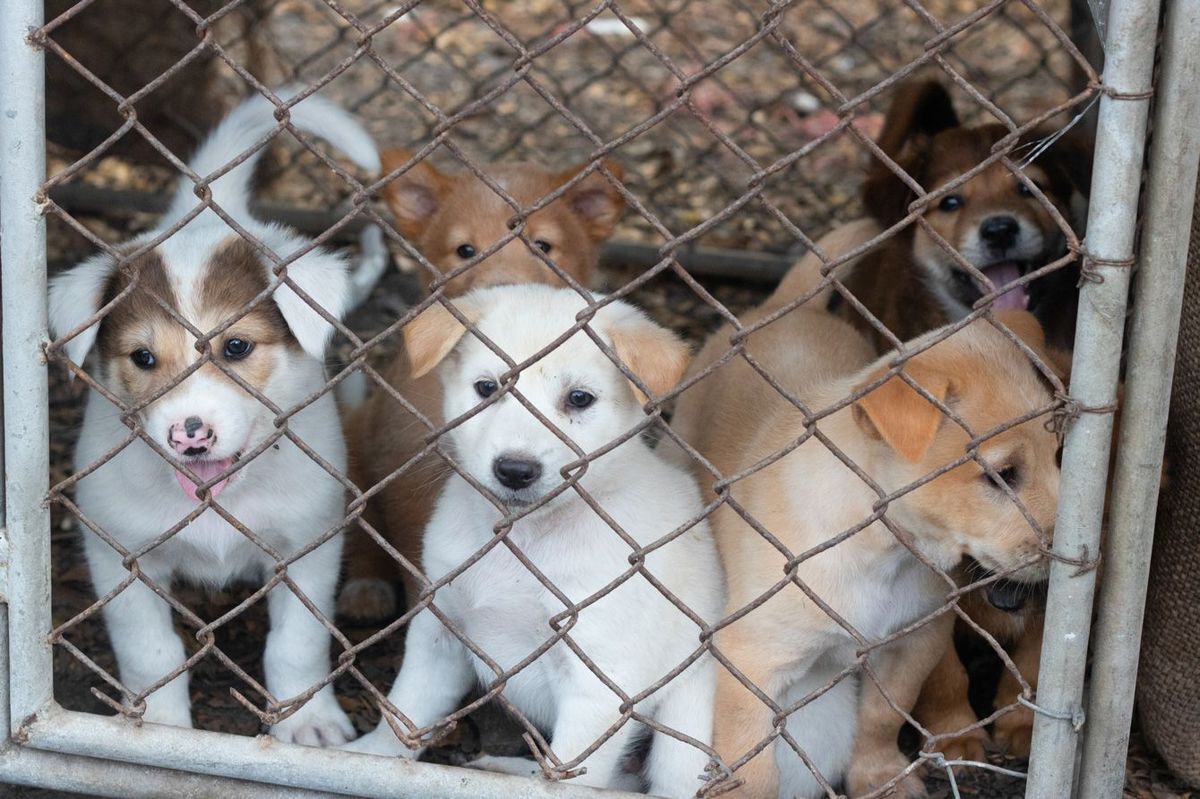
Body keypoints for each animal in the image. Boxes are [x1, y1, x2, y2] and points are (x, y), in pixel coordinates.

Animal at [45, 89, 384, 743]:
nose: (190, 437)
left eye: (237, 347)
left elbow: (297, 645)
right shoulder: (121, 554)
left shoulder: (307, 546)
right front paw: (161, 725)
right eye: (143, 357)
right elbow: (151, 651)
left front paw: (308, 722)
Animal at [343, 281, 724, 796]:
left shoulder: (597, 684)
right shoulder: (440, 633)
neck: (524, 540)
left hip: (689, 713)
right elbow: (407, 707)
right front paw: (373, 758)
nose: (515, 471)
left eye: (579, 399)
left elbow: (568, 774)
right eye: (488, 388)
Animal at [676, 244, 1060, 796]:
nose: (1080, 549)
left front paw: (880, 779)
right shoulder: (753, 660)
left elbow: (881, 719)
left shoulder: (912, 645)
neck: (884, 553)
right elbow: (751, 761)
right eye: (1001, 475)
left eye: (1060, 454)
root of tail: (784, 308)